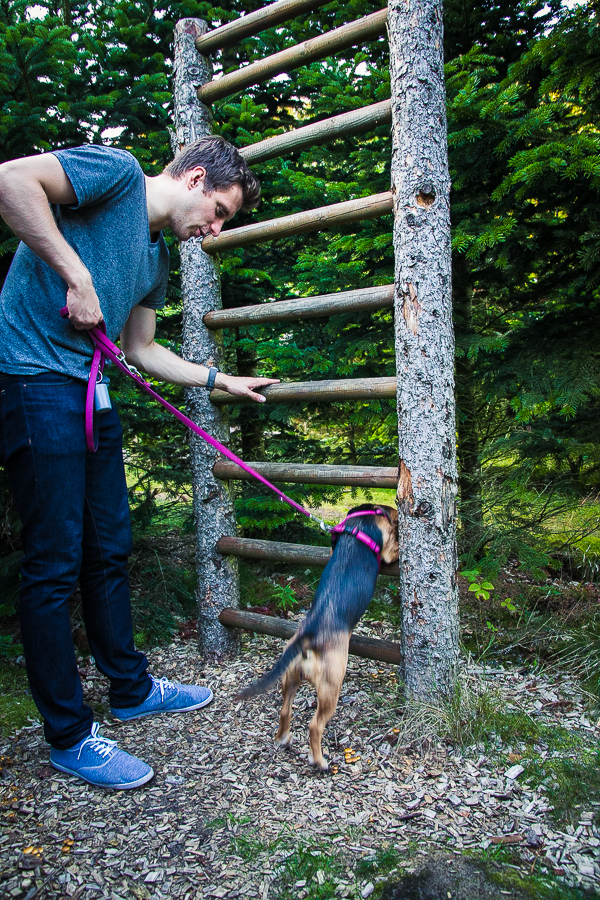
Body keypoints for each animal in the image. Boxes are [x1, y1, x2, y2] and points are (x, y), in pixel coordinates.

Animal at [236, 504, 399, 770]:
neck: (363, 517)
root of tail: (308, 637)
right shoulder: (388, 552)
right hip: (331, 686)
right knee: (315, 725)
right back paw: (319, 760)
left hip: (290, 677)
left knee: (285, 711)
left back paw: (282, 739)